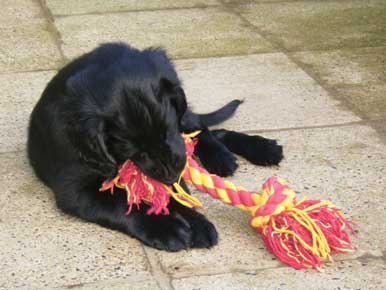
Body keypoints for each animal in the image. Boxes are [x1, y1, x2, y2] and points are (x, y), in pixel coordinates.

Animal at [26, 43, 280, 251]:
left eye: (167, 130)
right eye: (133, 150)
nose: (170, 173)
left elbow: (178, 191)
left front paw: (195, 221)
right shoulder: (75, 188)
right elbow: (120, 205)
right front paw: (167, 228)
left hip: (186, 118)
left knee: (203, 129)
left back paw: (248, 151)